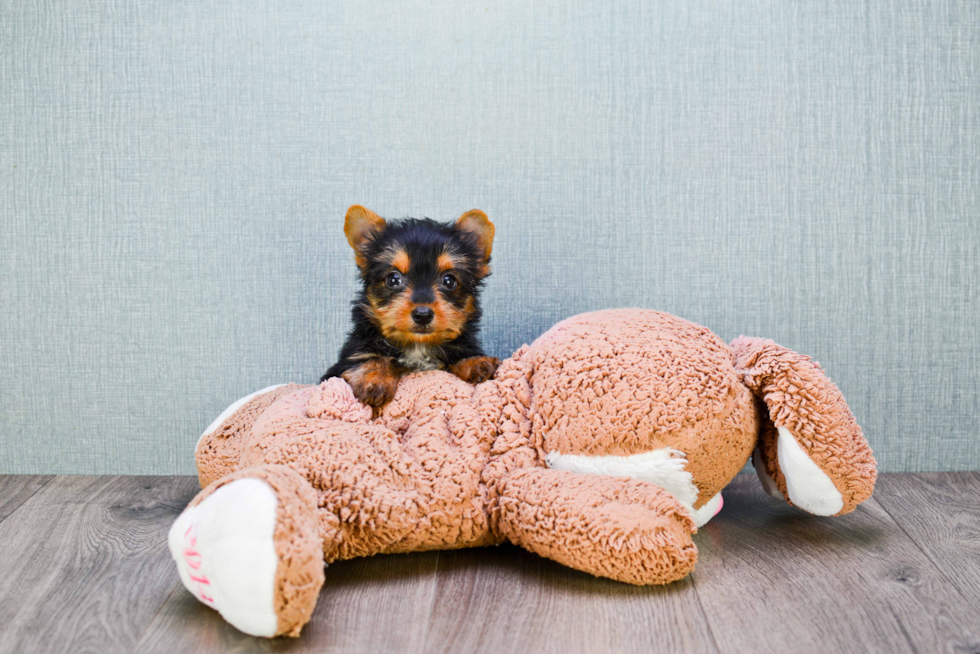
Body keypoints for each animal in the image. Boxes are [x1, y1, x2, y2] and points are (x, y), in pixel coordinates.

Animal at [324, 206, 502, 410]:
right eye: (393, 279)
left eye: (449, 281)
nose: (423, 314)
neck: (417, 347)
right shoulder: (345, 362)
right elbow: (369, 357)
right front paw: (375, 378)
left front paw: (475, 362)